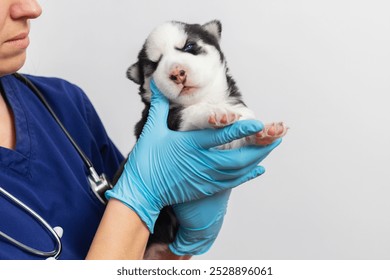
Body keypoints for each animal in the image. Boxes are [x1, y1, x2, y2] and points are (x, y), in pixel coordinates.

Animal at [126, 19, 288, 256]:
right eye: (154, 64)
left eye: (189, 47)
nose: (177, 73)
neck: (204, 98)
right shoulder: (170, 121)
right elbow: (191, 113)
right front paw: (214, 113)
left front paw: (266, 131)